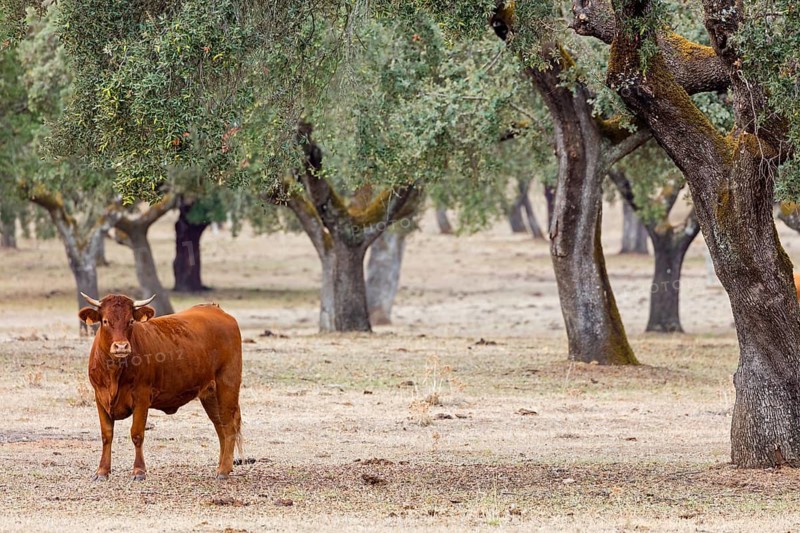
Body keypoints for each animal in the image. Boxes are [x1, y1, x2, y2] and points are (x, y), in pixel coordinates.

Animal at [78, 293, 243, 481]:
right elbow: (106, 435)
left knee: (229, 427)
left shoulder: (142, 398)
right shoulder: (100, 398)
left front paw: (139, 471)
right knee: (220, 427)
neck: (114, 373)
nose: (121, 346)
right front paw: (102, 471)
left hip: (228, 385)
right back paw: (222, 467)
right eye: (105, 321)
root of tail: (216, 309)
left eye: (131, 321)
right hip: (210, 394)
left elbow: (137, 434)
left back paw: (223, 470)